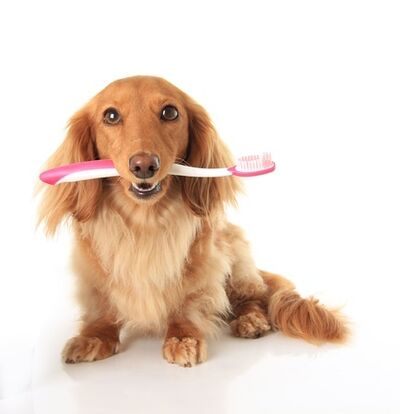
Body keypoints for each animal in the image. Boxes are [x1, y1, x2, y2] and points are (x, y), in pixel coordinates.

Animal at [39, 76, 348, 368]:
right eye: (111, 116)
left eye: (170, 112)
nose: (144, 165)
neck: (145, 221)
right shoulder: (94, 270)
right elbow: (102, 308)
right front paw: (94, 336)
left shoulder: (201, 263)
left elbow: (186, 302)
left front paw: (182, 337)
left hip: (235, 259)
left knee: (254, 298)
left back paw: (251, 320)